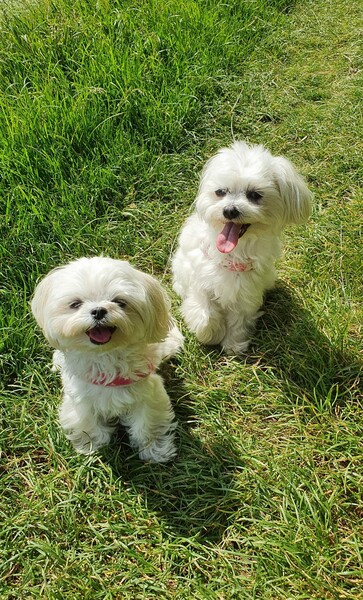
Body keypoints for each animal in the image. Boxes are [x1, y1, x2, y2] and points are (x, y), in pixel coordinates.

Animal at [31, 255, 183, 462]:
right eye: (75, 304)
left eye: (120, 302)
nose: (98, 311)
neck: (105, 355)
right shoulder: (81, 398)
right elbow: (86, 422)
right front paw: (91, 445)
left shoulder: (148, 394)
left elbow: (147, 424)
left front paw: (155, 449)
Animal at [173, 141, 312, 354]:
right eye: (220, 192)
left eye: (255, 195)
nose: (230, 210)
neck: (234, 253)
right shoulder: (201, 281)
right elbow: (206, 312)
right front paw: (209, 334)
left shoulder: (247, 293)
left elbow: (240, 320)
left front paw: (233, 344)